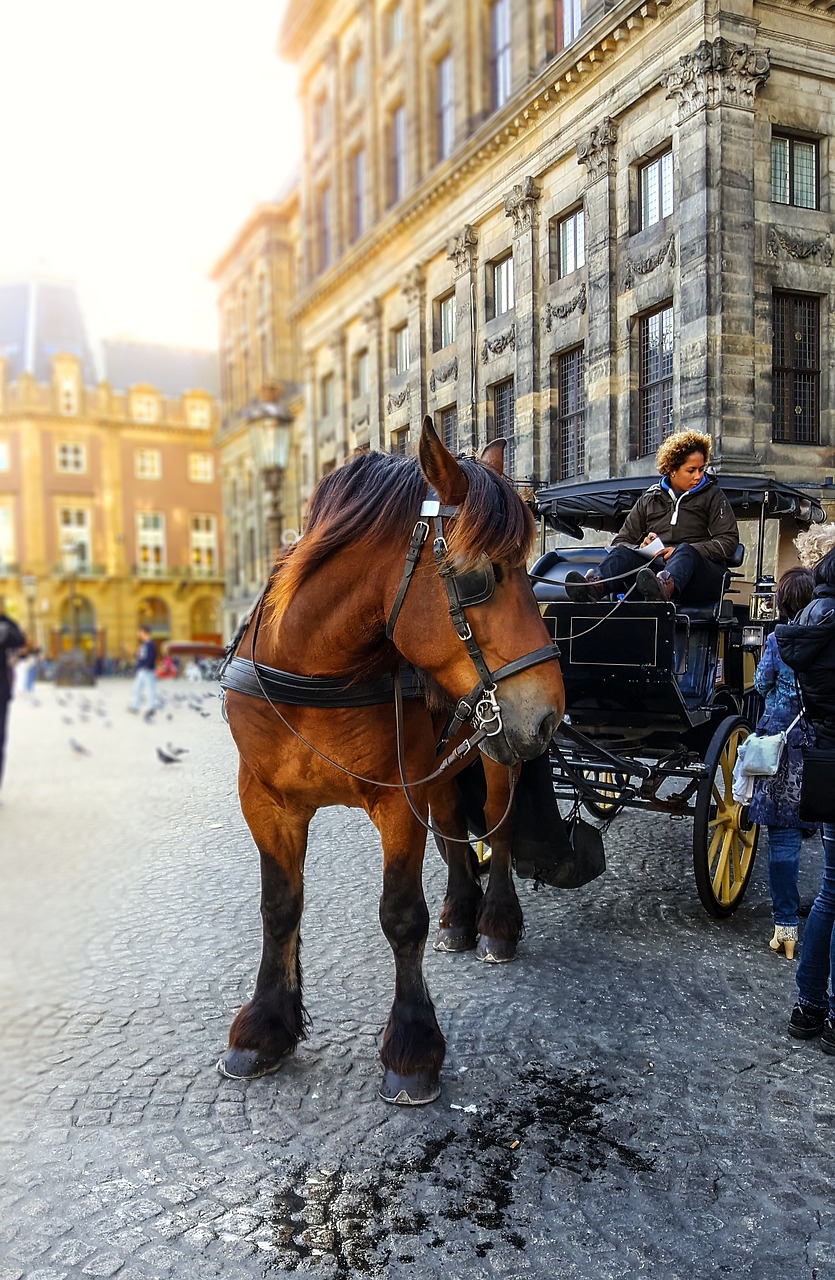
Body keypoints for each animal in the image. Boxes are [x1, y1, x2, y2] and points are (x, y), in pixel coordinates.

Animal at [218, 417, 563, 1100]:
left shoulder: (395, 801)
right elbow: (279, 906)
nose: (548, 714)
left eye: (528, 570)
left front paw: (411, 1046)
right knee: (455, 832)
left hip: (494, 756)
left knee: (500, 831)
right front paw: (266, 1025)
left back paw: (496, 923)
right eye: (482, 576)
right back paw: (460, 915)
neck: (315, 669)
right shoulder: (265, 802)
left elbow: (402, 916)